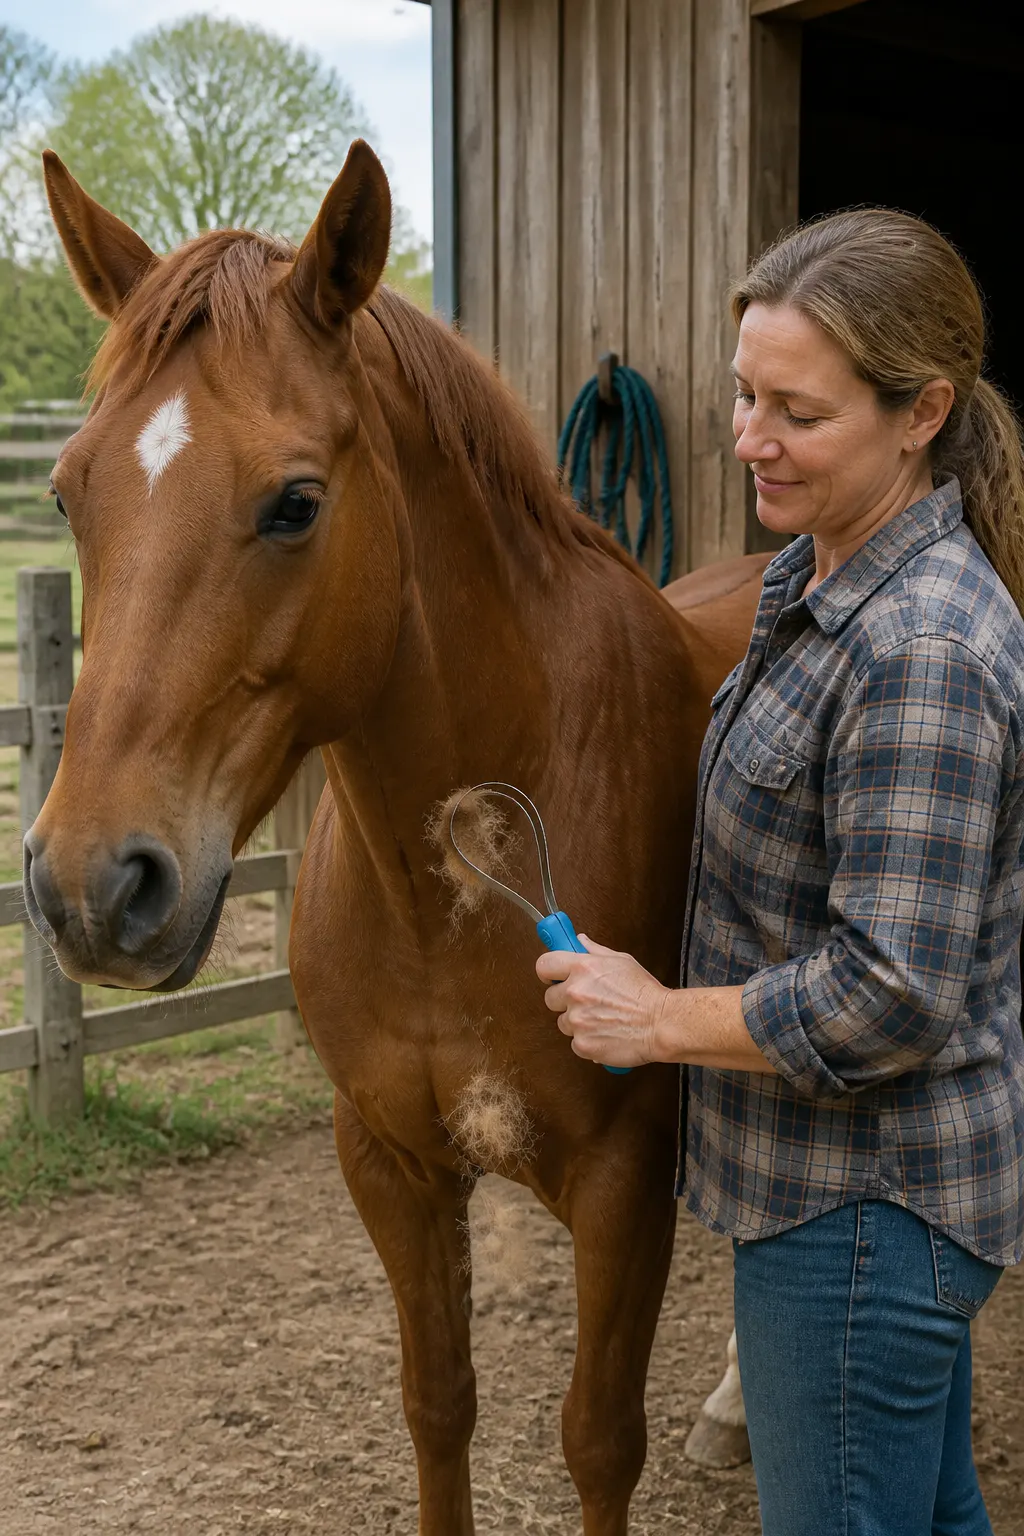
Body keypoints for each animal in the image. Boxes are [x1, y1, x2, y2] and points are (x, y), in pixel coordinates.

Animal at [29, 139, 766, 1533]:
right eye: (66, 489)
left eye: (294, 504)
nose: (93, 886)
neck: (457, 890)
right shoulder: (387, 1164)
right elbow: (438, 1407)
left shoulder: (623, 1182)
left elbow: (599, 1440)